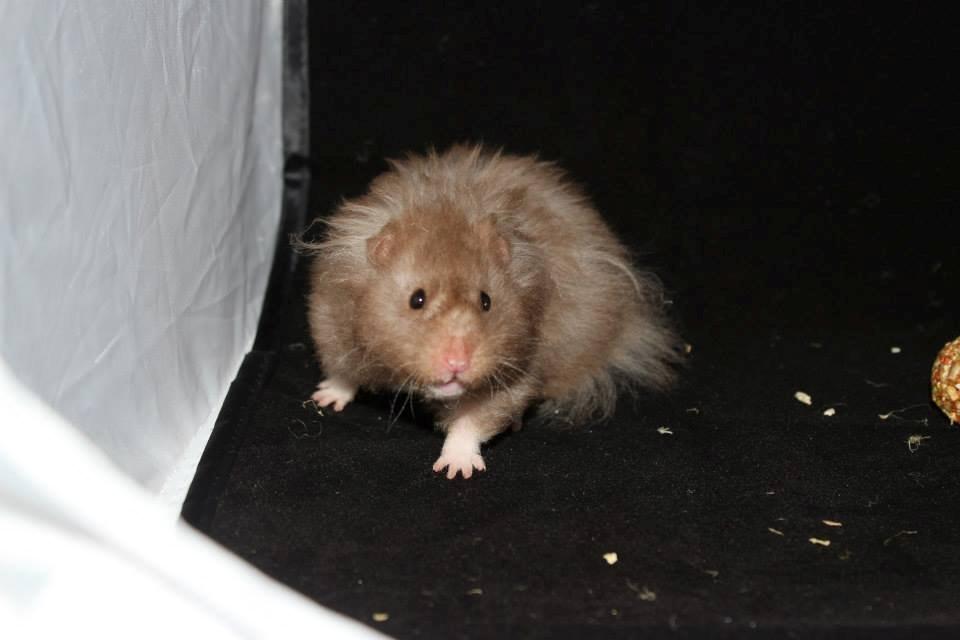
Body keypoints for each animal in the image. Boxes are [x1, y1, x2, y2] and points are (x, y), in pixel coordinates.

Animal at [301, 145, 681, 479]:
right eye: (416, 299)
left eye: (487, 301)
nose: (457, 363)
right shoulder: (331, 317)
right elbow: (342, 370)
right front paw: (324, 398)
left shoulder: (519, 367)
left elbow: (474, 419)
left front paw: (456, 469)